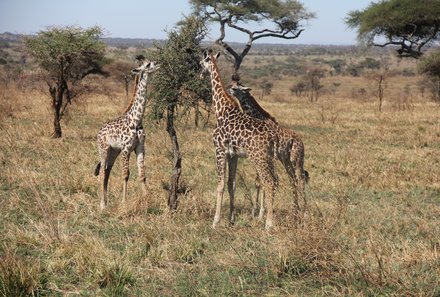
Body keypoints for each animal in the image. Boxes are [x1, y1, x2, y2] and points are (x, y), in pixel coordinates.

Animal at [93, 59, 159, 208]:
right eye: (147, 65)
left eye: (150, 62)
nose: (157, 64)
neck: (136, 120)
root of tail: (99, 131)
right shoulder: (126, 149)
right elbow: (126, 175)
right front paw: (124, 202)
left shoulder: (140, 147)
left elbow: (142, 175)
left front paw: (147, 198)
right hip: (104, 149)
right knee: (102, 173)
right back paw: (102, 205)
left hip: (113, 151)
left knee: (107, 172)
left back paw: (106, 202)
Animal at [199, 50, 278, 229]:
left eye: (201, 63)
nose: (200, 75)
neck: (221, 109)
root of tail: (273, 137)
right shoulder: (233, 154)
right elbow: (231, 184)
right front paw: (231, 218)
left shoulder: (219, 150)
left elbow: (220, 185)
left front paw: (215, 221)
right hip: (268, 158)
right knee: (274, 181)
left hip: (259, 158)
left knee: (268, 182)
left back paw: (268, 223)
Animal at [229, 81, 308, 220]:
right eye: (232, 85)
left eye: (237, 88)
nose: (230, 89)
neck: (258, 118)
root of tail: (301, 142)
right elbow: (258, 182)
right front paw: (255, 211)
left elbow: (265, 181)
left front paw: (261, 213)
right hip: (285, 160)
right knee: (293, 179)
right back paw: (295, 210)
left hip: (297, 159)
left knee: (301, 179)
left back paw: (305, 212)